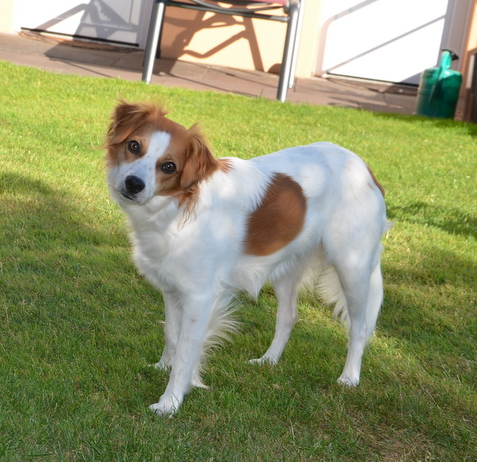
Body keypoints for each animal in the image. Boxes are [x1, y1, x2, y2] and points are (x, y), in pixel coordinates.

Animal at [105, 101, 390, 416]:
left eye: (169, 167)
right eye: (134, 146)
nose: (133, 184)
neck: (179, 207)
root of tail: (364, 167)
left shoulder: (200, 297)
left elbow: (186, 352)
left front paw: (171, 401)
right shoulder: (171, 287)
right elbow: (171, 334)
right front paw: (162, 366)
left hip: (353, 268)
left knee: (359, 327)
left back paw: (349, 377)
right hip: (286, 268)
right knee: (289, 316)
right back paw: (268, 361)